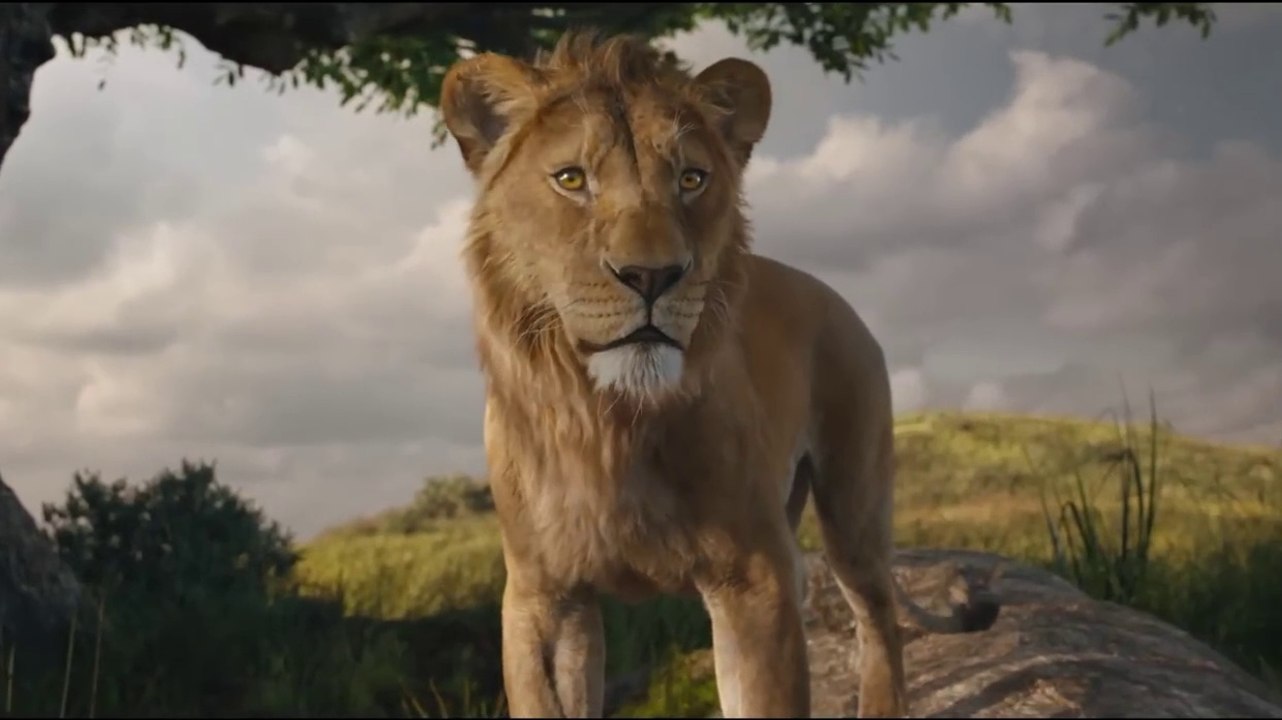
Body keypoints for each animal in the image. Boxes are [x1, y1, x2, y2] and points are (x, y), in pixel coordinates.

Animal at [438, 30, 1001, 718]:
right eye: (571, 179)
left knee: (879, 617)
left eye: (691, 179)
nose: (652, 275)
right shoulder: (542, 596)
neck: (611, 421)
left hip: (855, 505)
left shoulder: (751, 575)